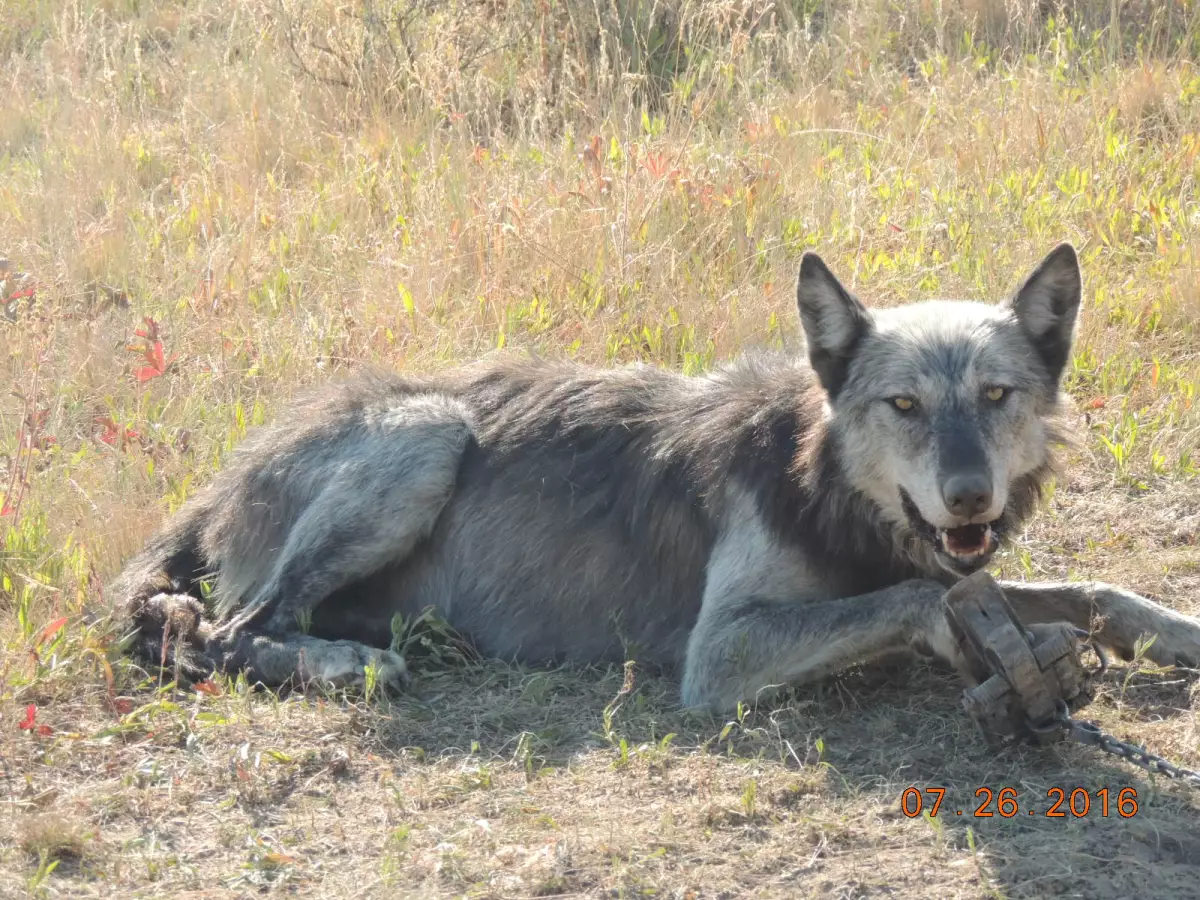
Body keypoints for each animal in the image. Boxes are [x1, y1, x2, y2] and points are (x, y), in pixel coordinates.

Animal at [111, 244, 1200, 711]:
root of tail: (218, 481)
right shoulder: (721, 652)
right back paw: (349, 668)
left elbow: (1087, 589)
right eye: (905, 408)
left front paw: (1175, 633)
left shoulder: (958, 561)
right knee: (226, 633)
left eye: (997, 396)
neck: (824, 488)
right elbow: (918, 603)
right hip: (428, 432)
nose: (971, 497)